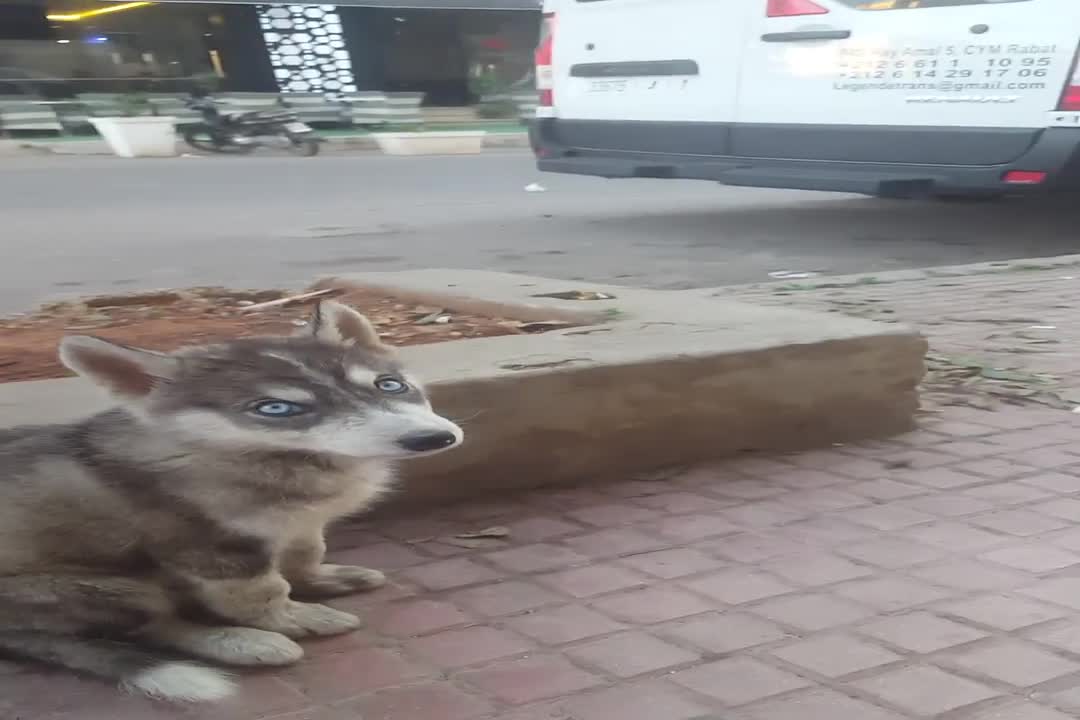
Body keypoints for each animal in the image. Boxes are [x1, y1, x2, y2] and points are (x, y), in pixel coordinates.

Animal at [0, 302, 460, 699]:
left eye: (390, 385)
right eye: (276, 408)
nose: (434, 439)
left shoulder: (298, 523)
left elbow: (306, 551)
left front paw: (321, 578)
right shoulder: (212, 550)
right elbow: (265, 591)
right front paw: (294, 618)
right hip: (117, 588)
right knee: (152, 627)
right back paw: (238, 641)